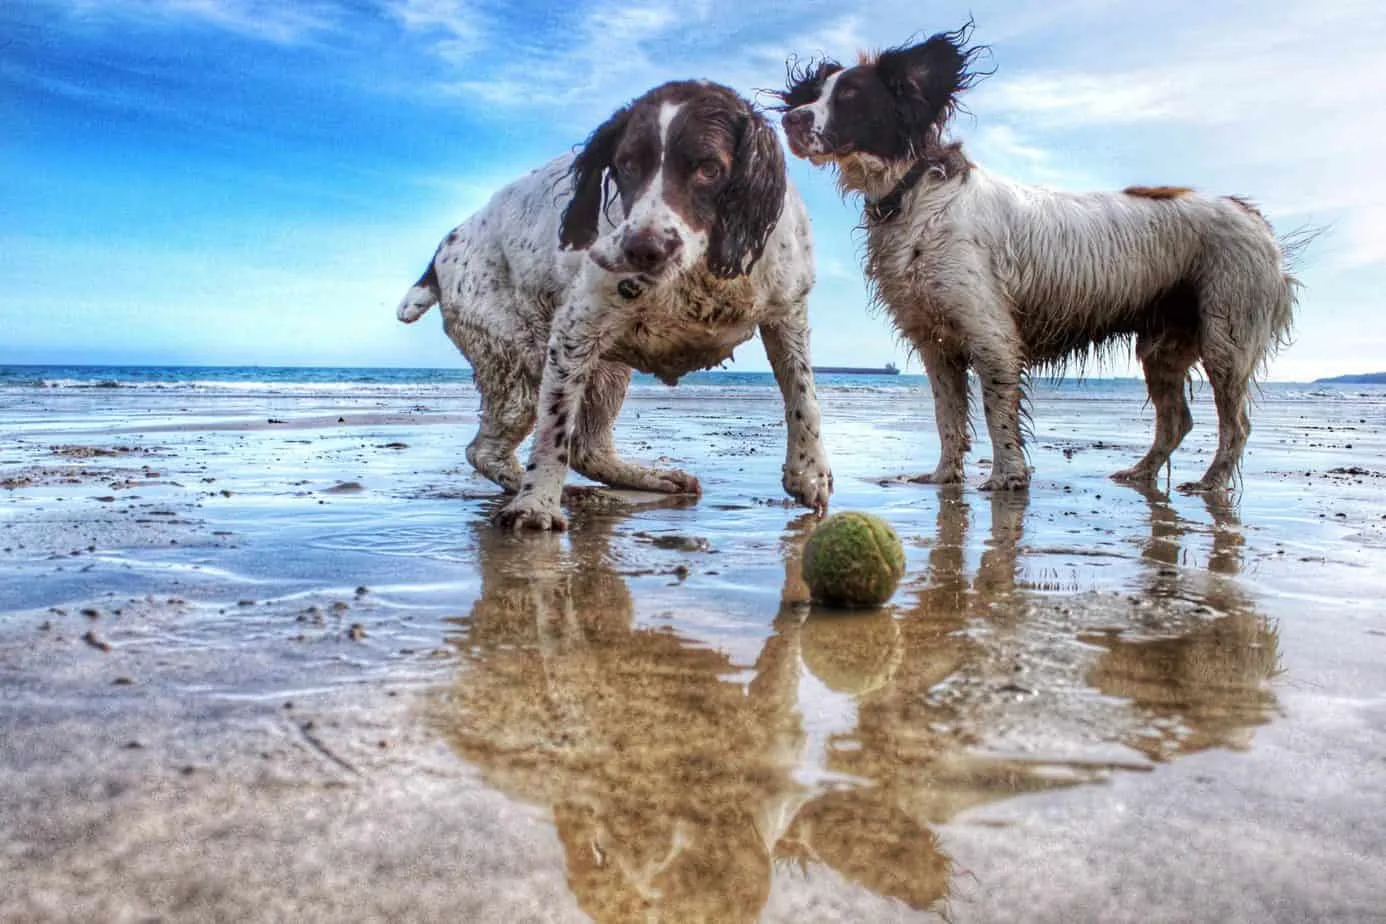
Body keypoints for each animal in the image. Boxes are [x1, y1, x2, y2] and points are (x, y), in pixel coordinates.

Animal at [401, 79, 831, 526]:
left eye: (709, 169)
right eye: (626, 165)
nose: (643, 249)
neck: (701, 268)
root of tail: (441, 254)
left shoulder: (787, 312)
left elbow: (803, 396)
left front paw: (809, 473)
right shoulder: (574, 330)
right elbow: (554, 430)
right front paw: (537, 504)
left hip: (604, 372)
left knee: (586, 449)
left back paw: (650, 479)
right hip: (514, 366)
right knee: (488, 451)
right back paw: (554, 490)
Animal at [776, 25, 1291, 495]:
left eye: (851, 95)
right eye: (815, 93)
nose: (792, 120)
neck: (916, 195)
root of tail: (1256, 220)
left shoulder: (991, 335)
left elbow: (996, 411)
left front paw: (1008, 476)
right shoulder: (936, 343)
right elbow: (947, 417)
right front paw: (943, 477)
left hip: (1226, 340)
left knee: (1235, 425)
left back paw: (1210, 483)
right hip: (1162, 348)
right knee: (1176, 421)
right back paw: (1140, 474)